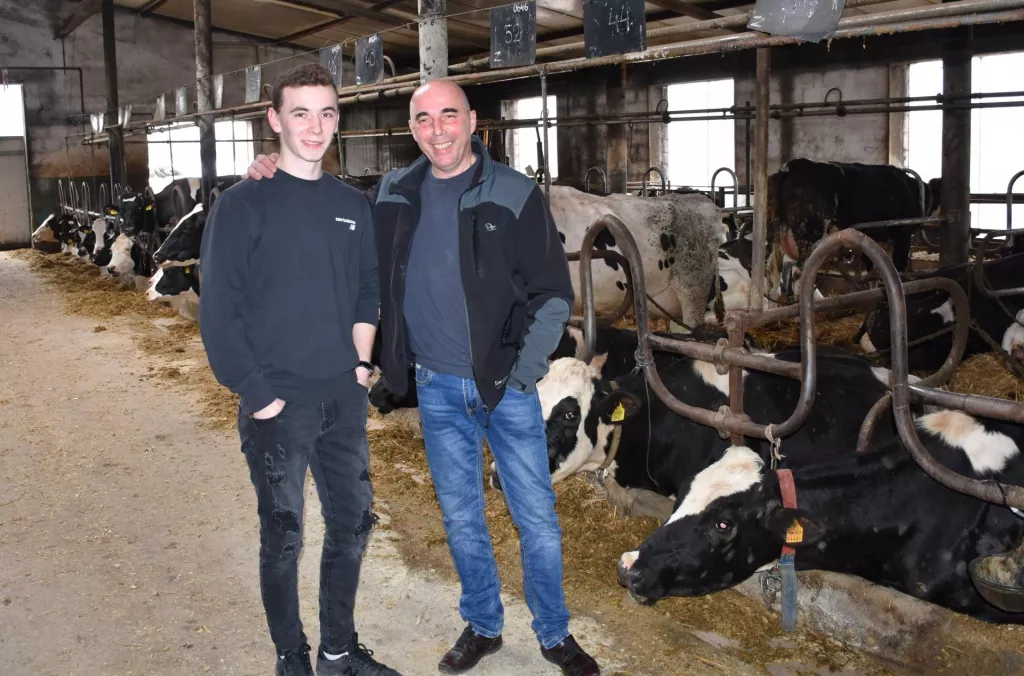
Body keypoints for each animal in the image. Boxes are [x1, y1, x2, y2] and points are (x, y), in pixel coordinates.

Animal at [768, 159, 941, 297]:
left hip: (775, 236)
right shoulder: (902, 236)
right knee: (800, 273)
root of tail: (792, 166)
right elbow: (898, 269)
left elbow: (874, 272)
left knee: (772, 276)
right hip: (810, 235)